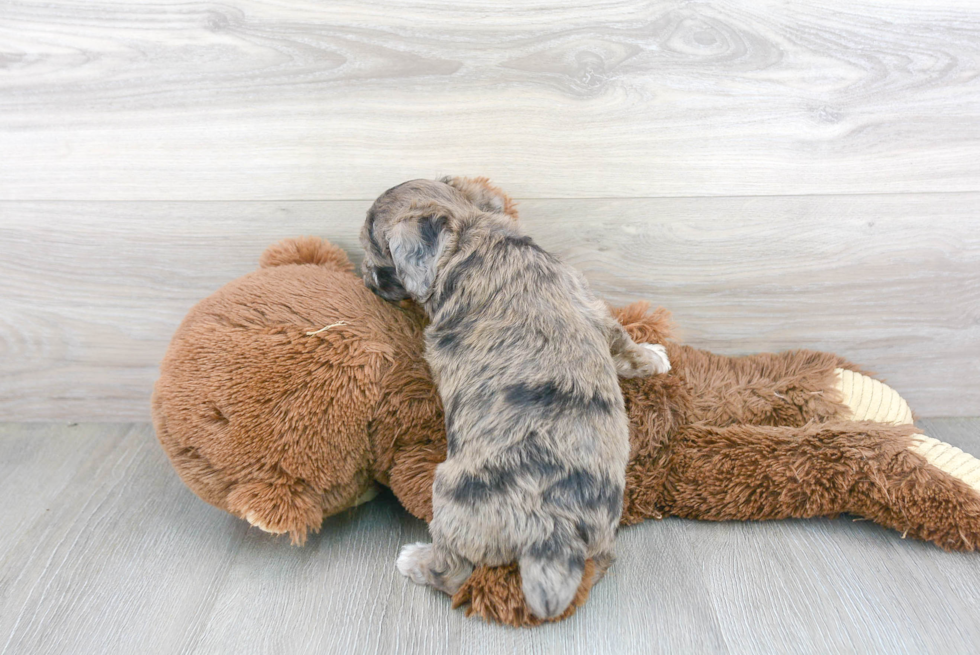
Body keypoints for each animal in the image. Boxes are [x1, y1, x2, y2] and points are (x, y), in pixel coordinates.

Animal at [360, 177, 672, 616]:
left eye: (375, 249)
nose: (364, 278)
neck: (470, 229)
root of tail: (552, 533)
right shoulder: (590, 304)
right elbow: (624, 341)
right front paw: (656, 355)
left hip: (449, 492)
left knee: (452, 571)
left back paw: (413, 560)